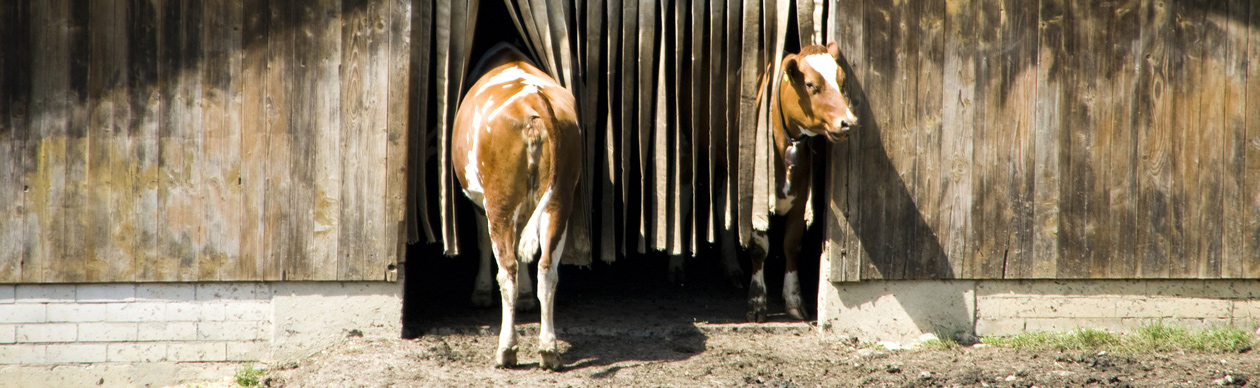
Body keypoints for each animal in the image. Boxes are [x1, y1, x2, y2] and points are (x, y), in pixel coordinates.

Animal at [451, 43, 582, 370]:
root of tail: (532, 98)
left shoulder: (479, 202)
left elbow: (484, 243)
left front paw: (481, 291)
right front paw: (526, 298)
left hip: (500, 200)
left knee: (507, 268)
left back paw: (506, 350)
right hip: (559, 199)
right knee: (547, 269)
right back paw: (549, 350)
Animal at [740, 41, 861, 321]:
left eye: (841, 80)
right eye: (810, 84)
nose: (849, 122)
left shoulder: (801, 195)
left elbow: (792, 244)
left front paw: (794, 298)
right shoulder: (755, 197)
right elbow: (759, 247)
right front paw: (756, 301)